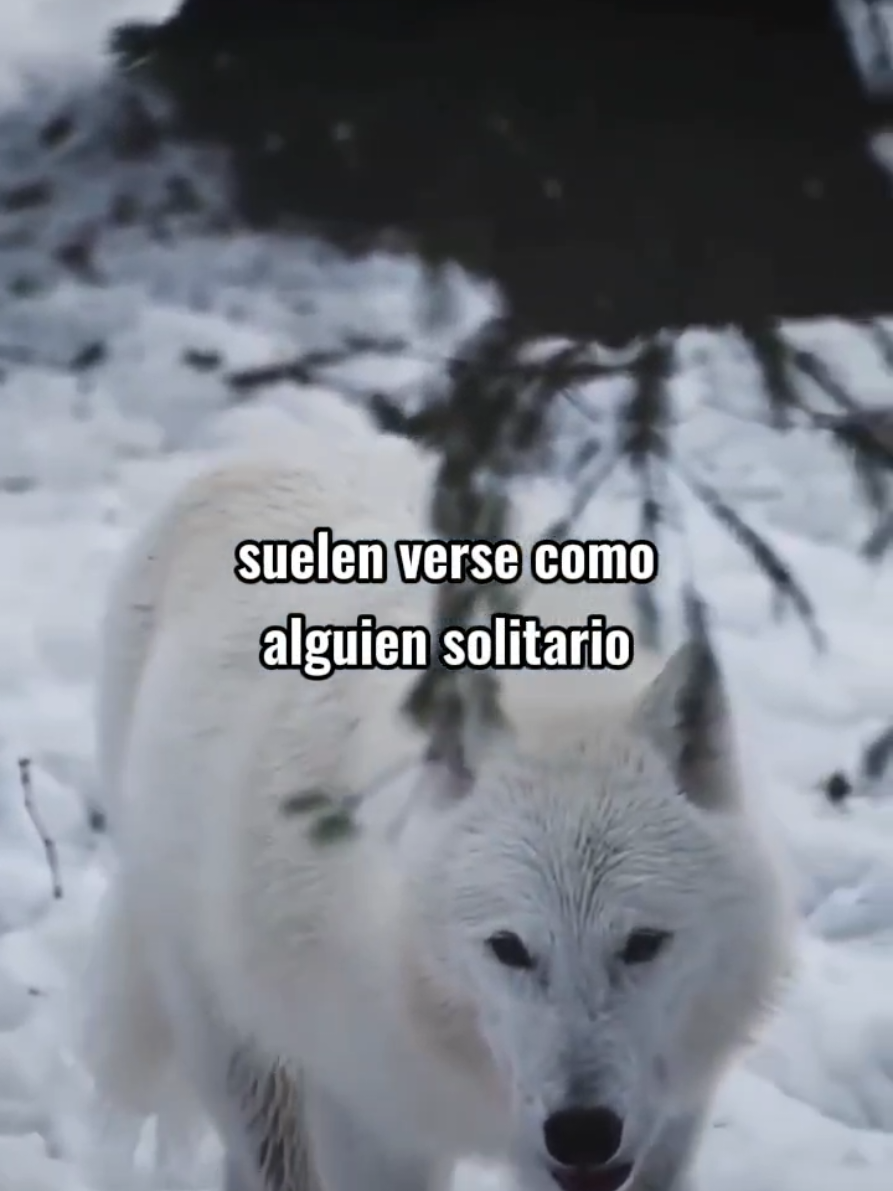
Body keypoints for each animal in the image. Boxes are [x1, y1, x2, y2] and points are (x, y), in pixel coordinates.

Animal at [80, 410, 793, 1191]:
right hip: (240, 1054)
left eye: (643, 944)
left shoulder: (670, 1125)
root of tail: (266, 441)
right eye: (508, 948)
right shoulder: (374, 1127)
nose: (582, 1131)